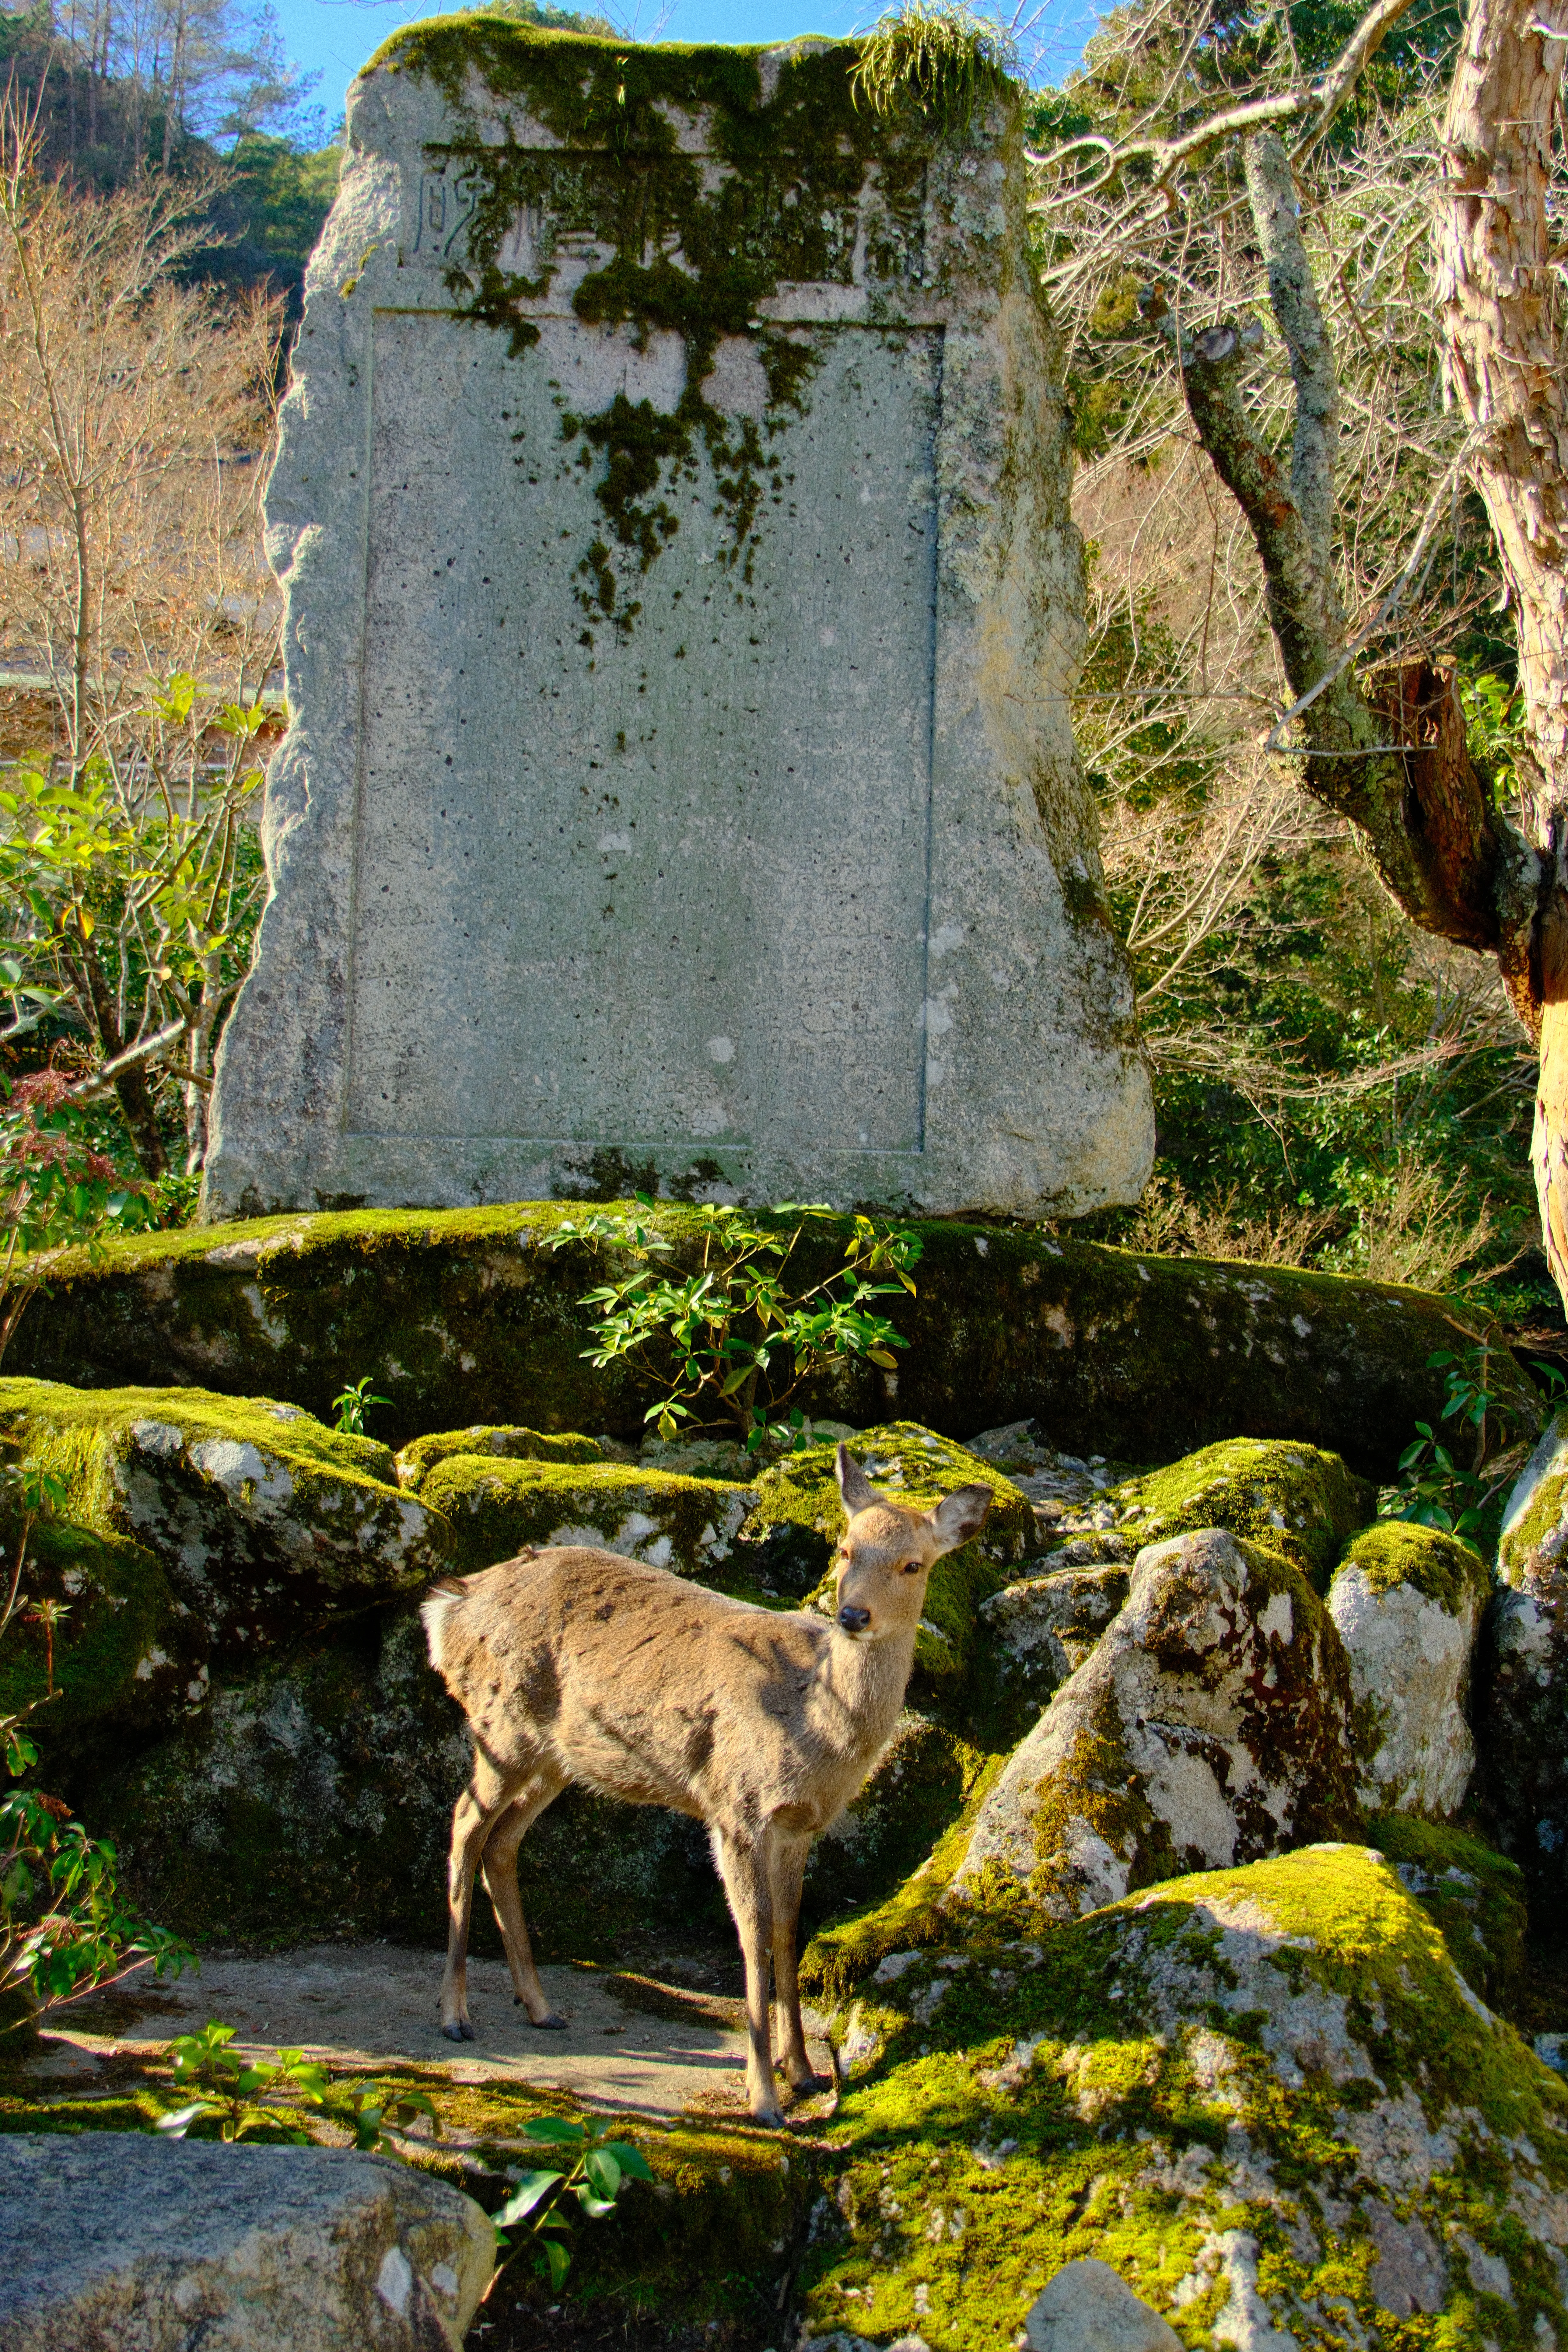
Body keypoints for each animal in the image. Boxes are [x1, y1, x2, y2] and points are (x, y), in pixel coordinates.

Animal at [420, 1443, 991, 2125]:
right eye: (845, 1549)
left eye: (913, 1564)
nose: (853, 1615)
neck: (813, 1724)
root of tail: (447, 1608)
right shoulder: (734, 1805)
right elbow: (752, 1935)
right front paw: (763, 2096)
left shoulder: (800, 1825)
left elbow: (788, 1931)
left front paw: (803, 2073)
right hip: (499, 1725)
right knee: (463, 1825)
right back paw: (454, 2016)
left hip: (556, 1756)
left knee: (502, 1842)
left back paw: (540, 2007)